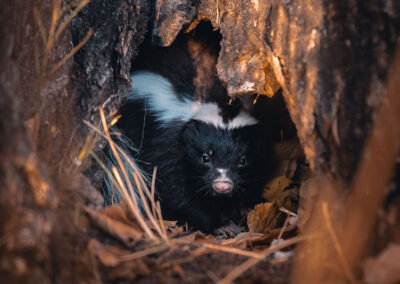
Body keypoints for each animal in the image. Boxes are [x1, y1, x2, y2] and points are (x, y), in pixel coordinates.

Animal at [103, 27, 276, 235]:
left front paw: (247, 205)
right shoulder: (166, 144)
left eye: (242, 160)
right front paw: (220, 223)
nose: (222, 184)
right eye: (205, 158)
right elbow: (175, 190)